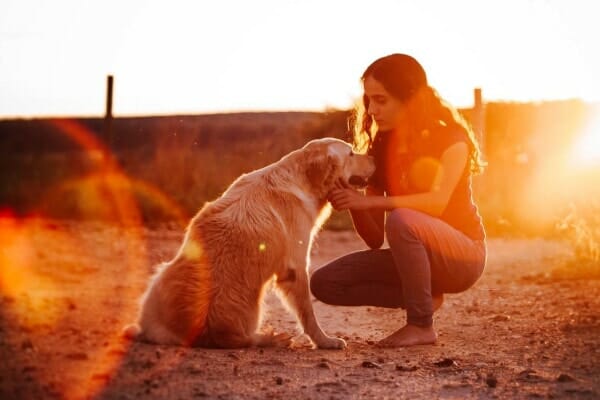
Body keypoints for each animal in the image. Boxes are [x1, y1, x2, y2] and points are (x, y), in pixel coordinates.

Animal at [122, 137, 376, 346]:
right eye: (351, 153)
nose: (374, 158)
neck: (302, 178)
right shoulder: (295, 266)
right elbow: (308, 312)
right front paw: (325, 341)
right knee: (242, 339)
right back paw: (271, 339)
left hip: (160, 277)